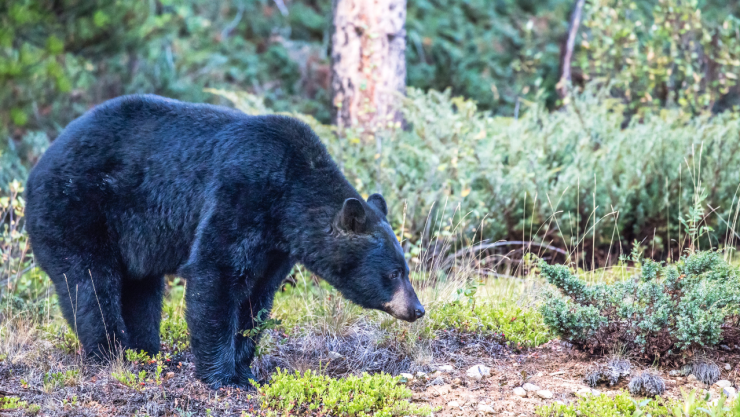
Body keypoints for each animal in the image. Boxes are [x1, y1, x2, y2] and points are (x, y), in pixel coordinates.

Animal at [24, 94, 425, 389]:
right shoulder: (241, 194)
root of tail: (39, 165)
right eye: (393, 273)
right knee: (91, 284)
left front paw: (247, 370)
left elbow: (257, 297)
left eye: (405, 269)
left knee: (141, 289)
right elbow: (216, 274)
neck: (289, 195)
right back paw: (111, 354)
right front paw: (222, 377)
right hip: (78, 209)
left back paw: (146, 351)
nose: (418, 309)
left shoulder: (276, 245)